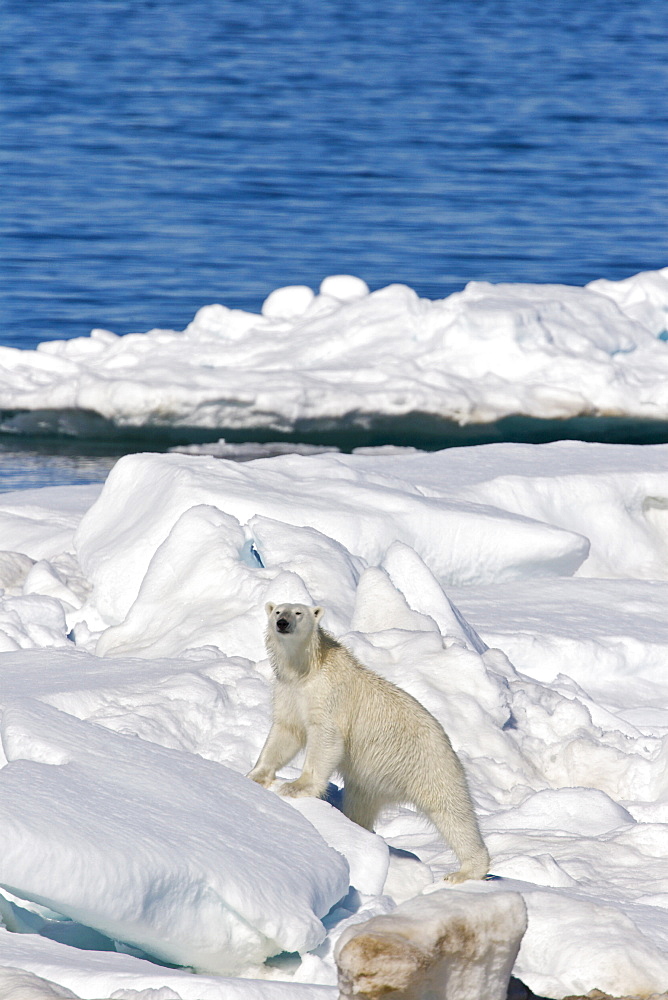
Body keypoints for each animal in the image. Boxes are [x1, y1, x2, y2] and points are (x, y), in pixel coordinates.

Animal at [248, 600, 488, 884]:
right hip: (370, 780)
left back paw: (464, 872)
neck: (307, 669)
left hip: (429, 764)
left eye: (298, 613)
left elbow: (326, 737)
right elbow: (286, 731)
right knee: (360, 805)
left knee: (452, 811)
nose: (282, 623)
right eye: (278, 611)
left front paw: (295, 787)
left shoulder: (330, 695)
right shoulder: (289, 692)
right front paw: (256, 775)